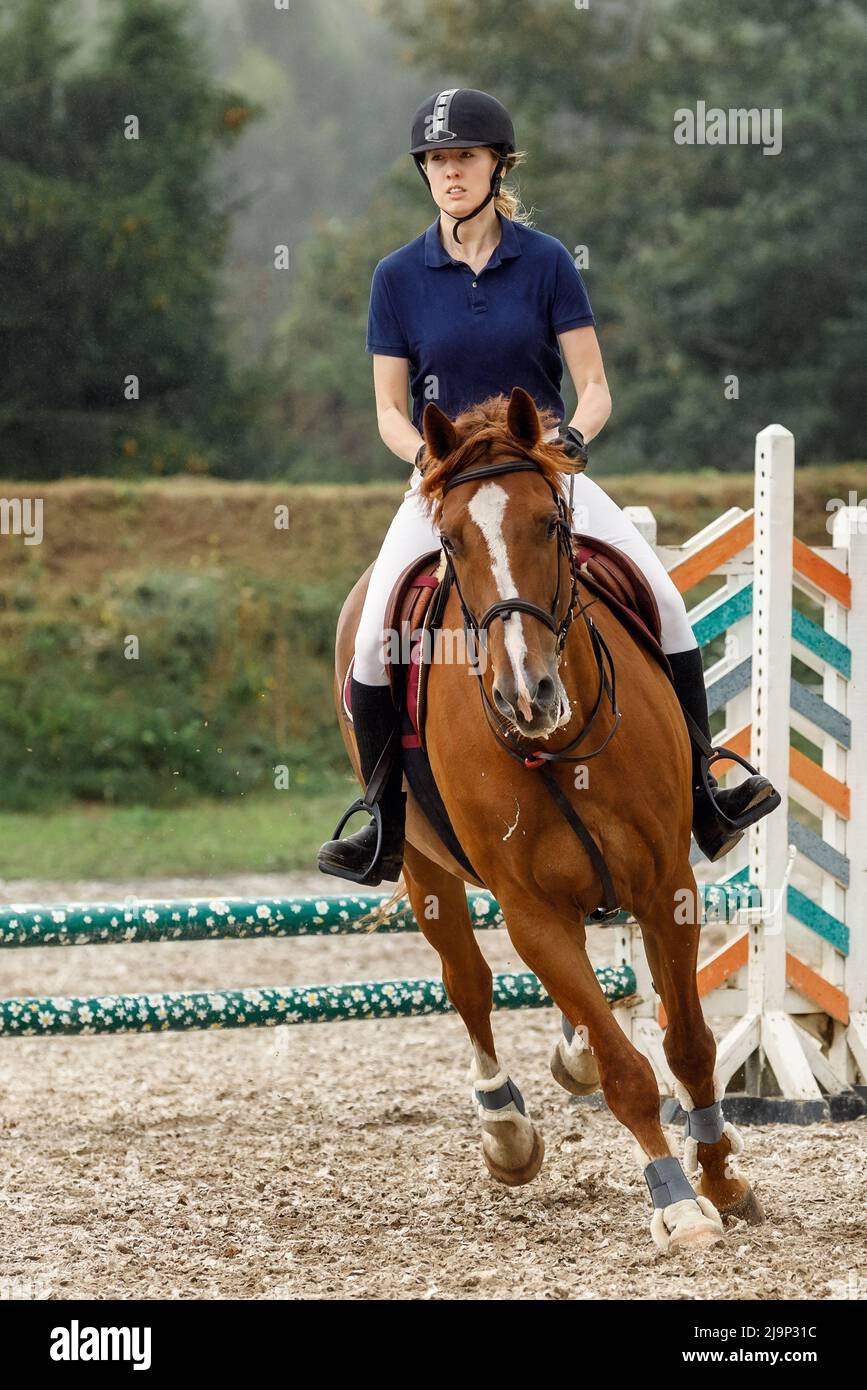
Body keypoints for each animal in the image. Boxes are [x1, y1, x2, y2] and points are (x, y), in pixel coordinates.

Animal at [327, 386, 761, 1256]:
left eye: (549, 524)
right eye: (450, 542)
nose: (525, 693)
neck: (558, 746)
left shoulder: (666, 885)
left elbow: (690, 1047)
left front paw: (720, 1178)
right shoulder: (530, 912)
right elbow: (628, 1070)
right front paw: (675, 1204)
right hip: (424, 869)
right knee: (467, 984)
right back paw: (506, 1131)